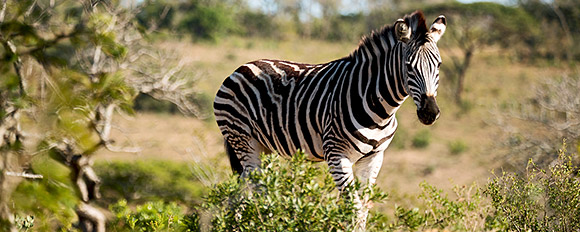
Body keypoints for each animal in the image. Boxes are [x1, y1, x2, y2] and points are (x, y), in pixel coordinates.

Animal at [215, 10, 446, 228]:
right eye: (408, 66)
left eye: (439, 65)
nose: (430, 112)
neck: (379, 108)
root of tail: (241, 68)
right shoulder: (337, 154)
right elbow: (354, 210)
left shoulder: (374, 157)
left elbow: (363, 209)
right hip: (244, 140)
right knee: (258, 190)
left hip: (263, 148)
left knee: (242, 190)